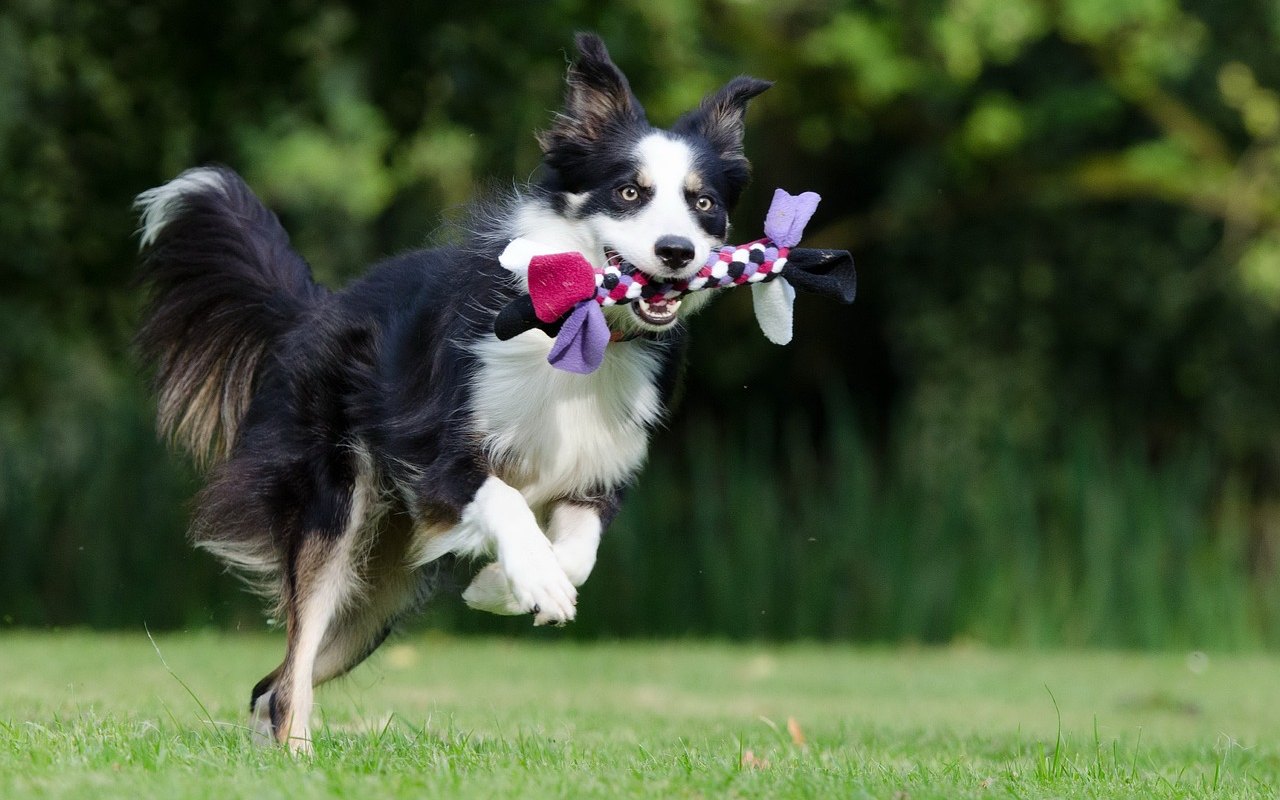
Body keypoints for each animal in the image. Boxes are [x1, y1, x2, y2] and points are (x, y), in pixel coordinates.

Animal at [132, 34, 768, 752]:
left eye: (704, 203)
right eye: (630, 191)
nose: (677, 251)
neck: (582, 331)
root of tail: (314, 310)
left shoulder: (599, 472)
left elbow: (579, 552)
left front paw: (504, 587)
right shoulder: (433, 451)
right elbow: (505, 500)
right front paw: (533, 579)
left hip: (376, 593)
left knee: (272, 683)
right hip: (336, 510)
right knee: (291, 669)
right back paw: (298, 757)